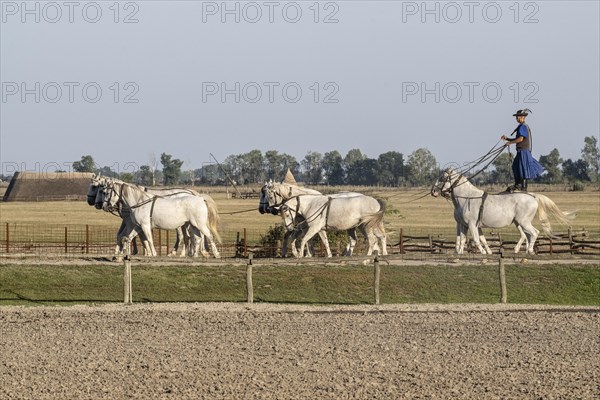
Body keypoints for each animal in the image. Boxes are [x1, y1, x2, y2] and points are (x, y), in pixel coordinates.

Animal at [432, 167, 572, 255]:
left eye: (443, 178)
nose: (433, 191)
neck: (467, 197)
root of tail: (533, 196)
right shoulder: (466, 225)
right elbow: (466, 239)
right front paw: (460, 253)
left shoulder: (471, 224)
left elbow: (476, 239)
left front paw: (483, 252)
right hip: (520, 222)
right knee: (528, 235)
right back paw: (526, 251)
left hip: (523, 221)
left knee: (534, 233)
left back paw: (530, 250)